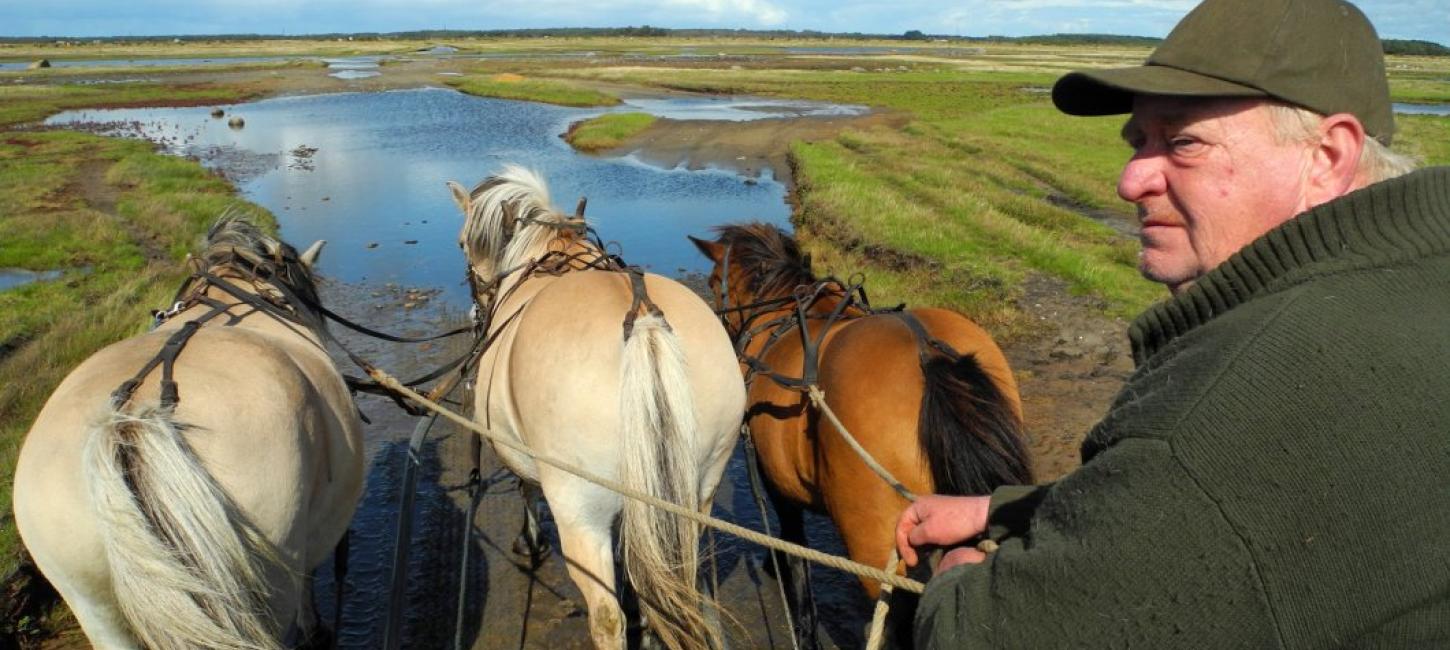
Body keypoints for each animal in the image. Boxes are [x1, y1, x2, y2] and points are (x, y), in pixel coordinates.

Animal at [449, 167, 748, 650]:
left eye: (461, 243)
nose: (477, 312)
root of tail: (644, 319)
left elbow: (525, 488)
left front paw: (529, 541)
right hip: (698, 492)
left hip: (579, 509)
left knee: (607, 617)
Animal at [687, 221, 1032, 644]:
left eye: (711, 280)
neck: (780, 310)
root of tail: (927, 351)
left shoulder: (777, 481)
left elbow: (795, 549)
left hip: (876, 544)